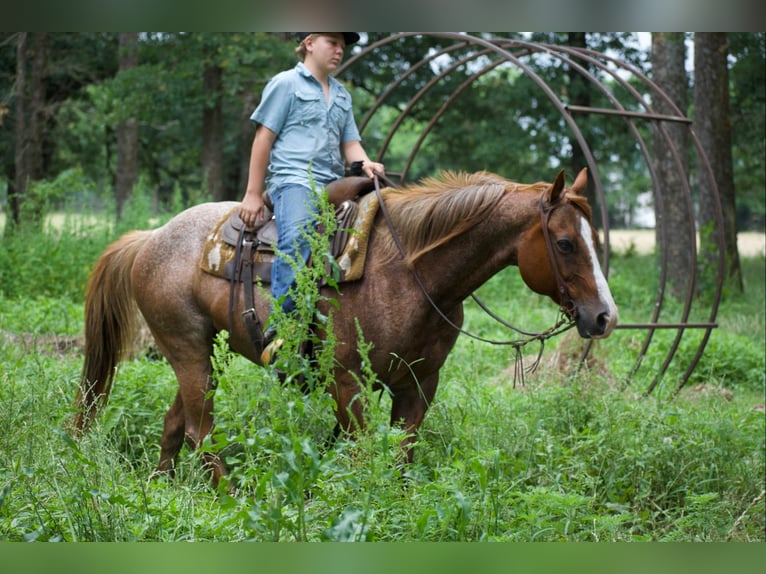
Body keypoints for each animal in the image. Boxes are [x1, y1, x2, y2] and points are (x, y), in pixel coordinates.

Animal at [72, 168, 618, 487]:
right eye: (565, 242)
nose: (604, 316)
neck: (409, 271)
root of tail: (150, 238)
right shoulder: (347, 380)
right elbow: (360, 454)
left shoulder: (419, 383)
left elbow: (400, 455)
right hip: (186, 349)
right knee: (200, 430)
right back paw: (227, 496)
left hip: (203, 352)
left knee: (175, 425)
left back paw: (159, 490)